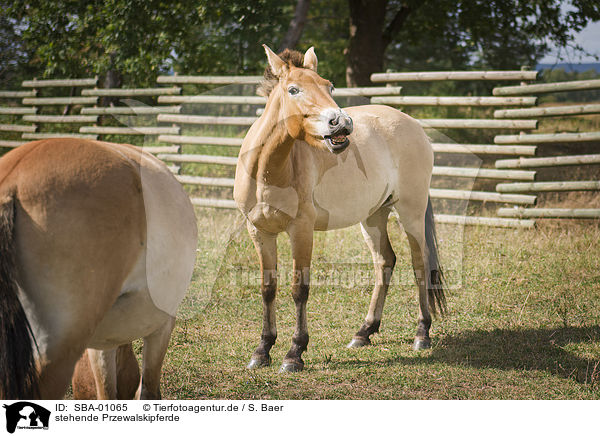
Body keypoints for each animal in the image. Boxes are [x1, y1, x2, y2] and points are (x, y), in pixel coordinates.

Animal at [234, 44, 446, 372]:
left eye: (329, 86)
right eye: (293, 89)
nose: (342, 123)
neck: (268, 170)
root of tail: (412, 124)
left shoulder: (301, 231)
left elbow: (299, 289)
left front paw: (294, 353)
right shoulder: (259, 231)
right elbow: (268, 288)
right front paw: (262, 350)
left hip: (410, 212)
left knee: (419, 263)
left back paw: (422, 334)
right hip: (373, 216)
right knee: (385, 261)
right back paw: (364, 332)